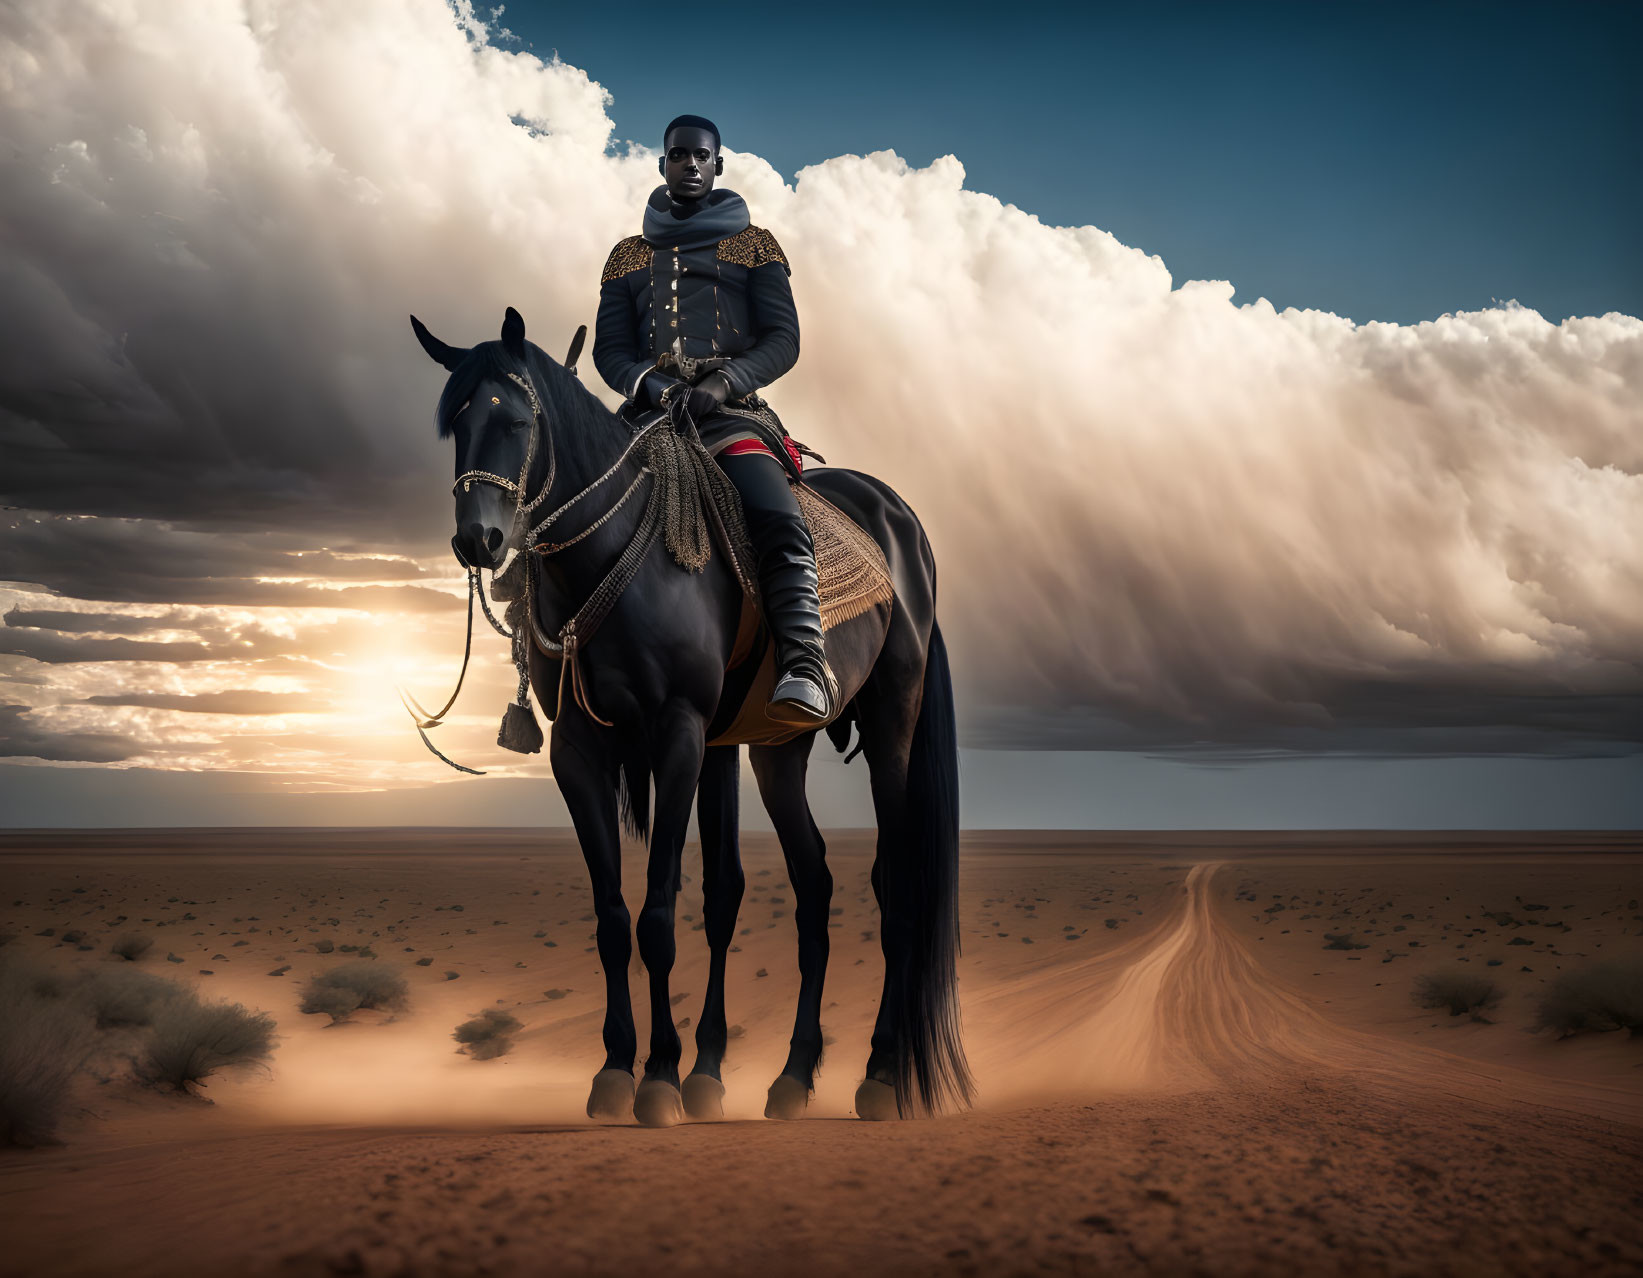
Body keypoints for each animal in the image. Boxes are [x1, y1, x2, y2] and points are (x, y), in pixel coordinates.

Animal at [417, 308, 966, 1123]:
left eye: (515, 420)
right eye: (456, 424)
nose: (477, 539)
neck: (610, 555)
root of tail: (902, 525)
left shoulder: (680, 733)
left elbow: (661, 915)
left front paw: (661, 1076)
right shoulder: (582, 749)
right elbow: (626, 916)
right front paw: (627, 1070)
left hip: (892, 719)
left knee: (894, 881)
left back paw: (882, 1075)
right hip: (777, 749)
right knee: (813, 886)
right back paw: (793, 1077)